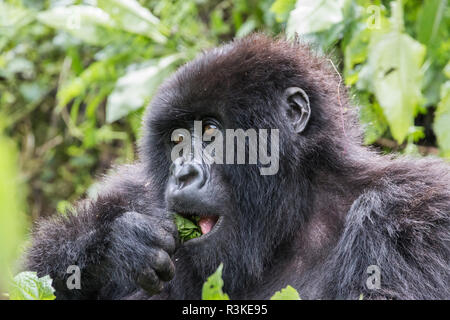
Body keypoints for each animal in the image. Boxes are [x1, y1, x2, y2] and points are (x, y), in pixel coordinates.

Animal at [25, 33, 450, 298]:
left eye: (212, 131)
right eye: (177, 141)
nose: (183, 175)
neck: (294, 214)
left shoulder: (412, 213)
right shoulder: (135, 191)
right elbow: (26, 273)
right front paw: (115, 248)